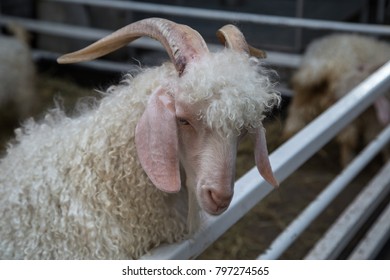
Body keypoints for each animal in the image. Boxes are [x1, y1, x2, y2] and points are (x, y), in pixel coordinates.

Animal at [284, 34, 390, 167]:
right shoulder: (374, 119)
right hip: (344, 106)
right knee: (348, 138)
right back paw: (348, 161)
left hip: (305, 91)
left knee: (296, 112)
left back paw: (290, 134)